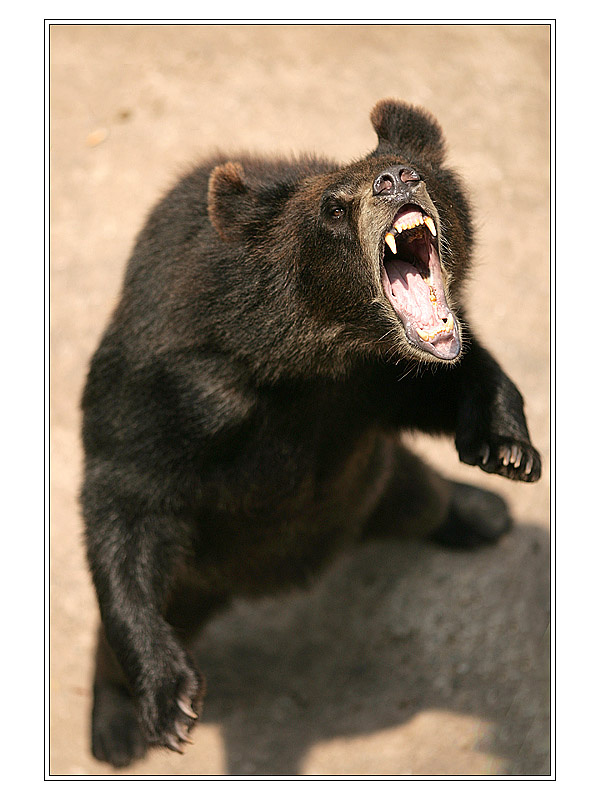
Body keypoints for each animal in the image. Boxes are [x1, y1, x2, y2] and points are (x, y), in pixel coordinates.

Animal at [80, 98, 541, 768]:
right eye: (333, 207)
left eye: (416, 170)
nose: (397, 179)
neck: (309, 353)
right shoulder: (181, 388)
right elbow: (125, 490)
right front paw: (169, 700)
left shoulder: (368, 387)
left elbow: (451, 376)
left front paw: (508, 446)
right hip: (196, 569)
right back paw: (115, 724)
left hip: (366, 486)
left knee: (419, 498)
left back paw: (479, 510)